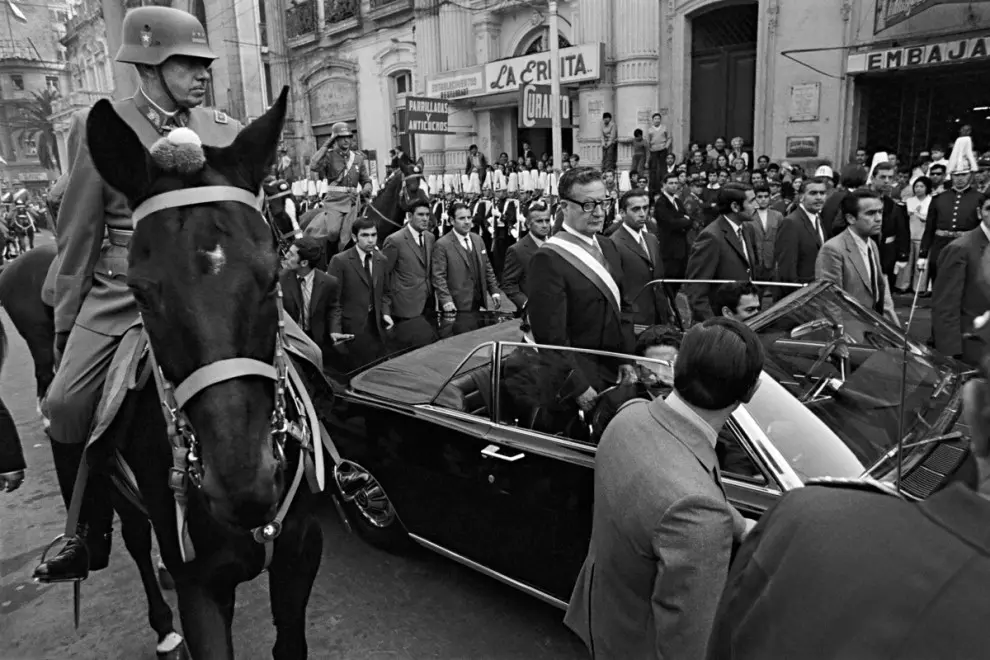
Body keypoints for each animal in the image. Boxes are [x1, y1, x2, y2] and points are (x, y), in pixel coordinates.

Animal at [54, 86, 324, 656]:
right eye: (138, 293)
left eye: (272, 278)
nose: (243, 484)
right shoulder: (202, 584)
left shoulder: (300, 552)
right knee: (136, 543)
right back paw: (161, 624)